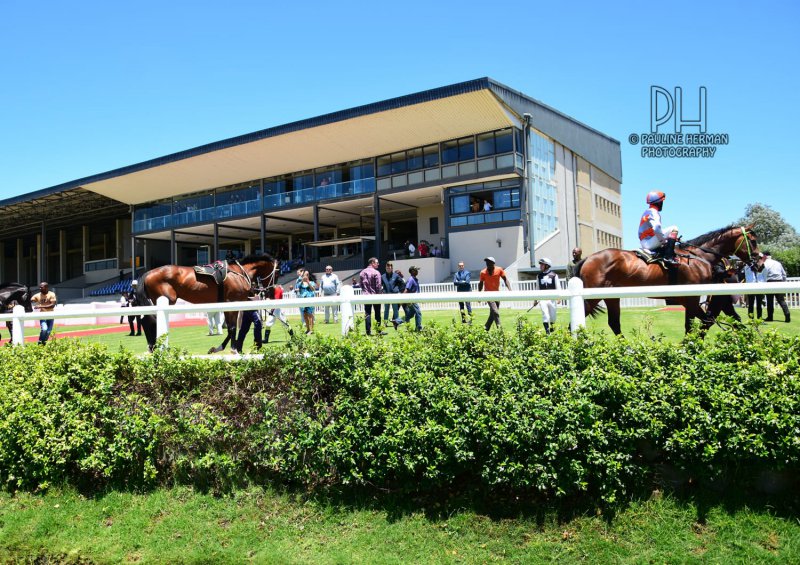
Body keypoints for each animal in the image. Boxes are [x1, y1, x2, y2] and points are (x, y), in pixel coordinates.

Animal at [136, 253, 276, 350]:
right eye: (276, 273)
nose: (271, 291)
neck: (239, 272)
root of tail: (149, 272)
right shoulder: (232, 302)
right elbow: (232, 328)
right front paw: (233, 349)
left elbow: (231, 328)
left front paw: (218, 348)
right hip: (166, 300)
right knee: (151, 321)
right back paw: (154, 345)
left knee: (148, 320)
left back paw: (153, 345)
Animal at [576, 223, 756, 332]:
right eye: (753, 241)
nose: (758, 260)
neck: (698, 256)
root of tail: (587, 258)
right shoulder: (691, 299)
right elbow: (701, 322)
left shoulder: (690, 300)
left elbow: (697, 323)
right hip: (591, 298)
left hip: (611, 297)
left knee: (614, 323)